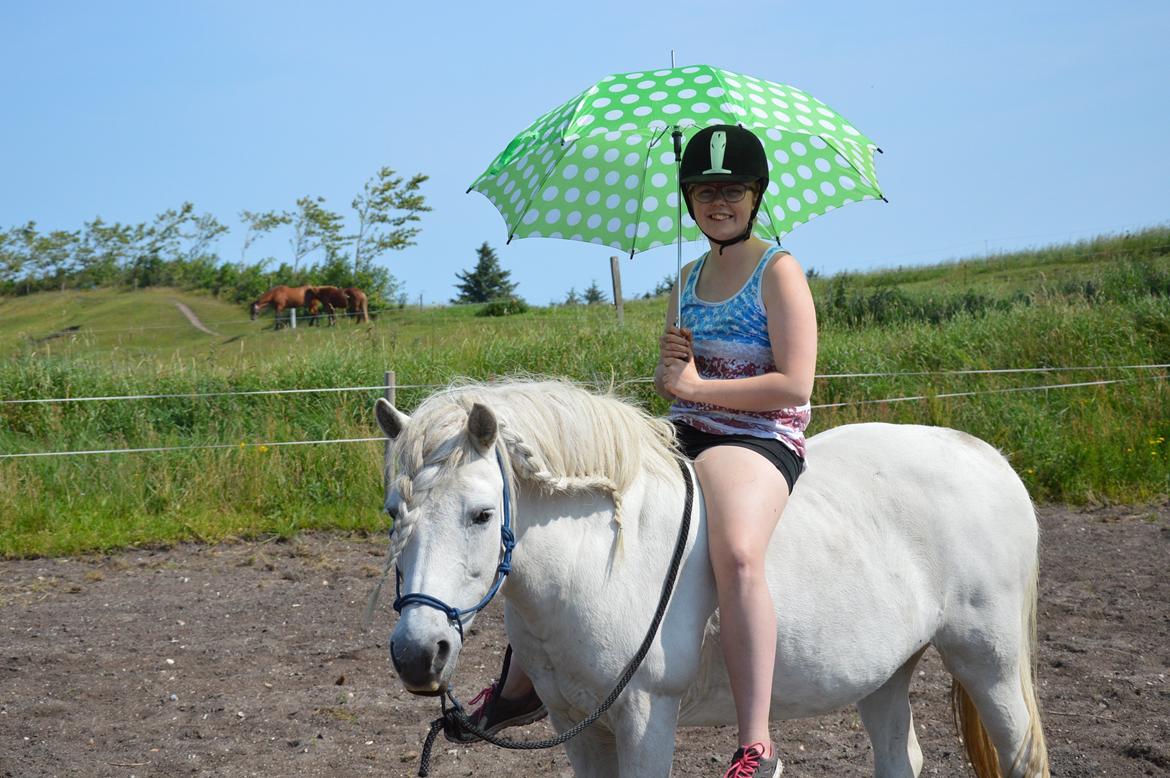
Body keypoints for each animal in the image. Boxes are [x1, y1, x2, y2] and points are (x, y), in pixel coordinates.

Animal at [376, 379, 1053, 772]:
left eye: (481, 514)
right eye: (392, 513)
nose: (417, 654)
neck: (599, 562)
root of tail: (983, 455)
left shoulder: (646, 718)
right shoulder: (576, 727)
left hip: (988, 663)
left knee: (1020, 753)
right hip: (885, 672)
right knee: (899, 756)